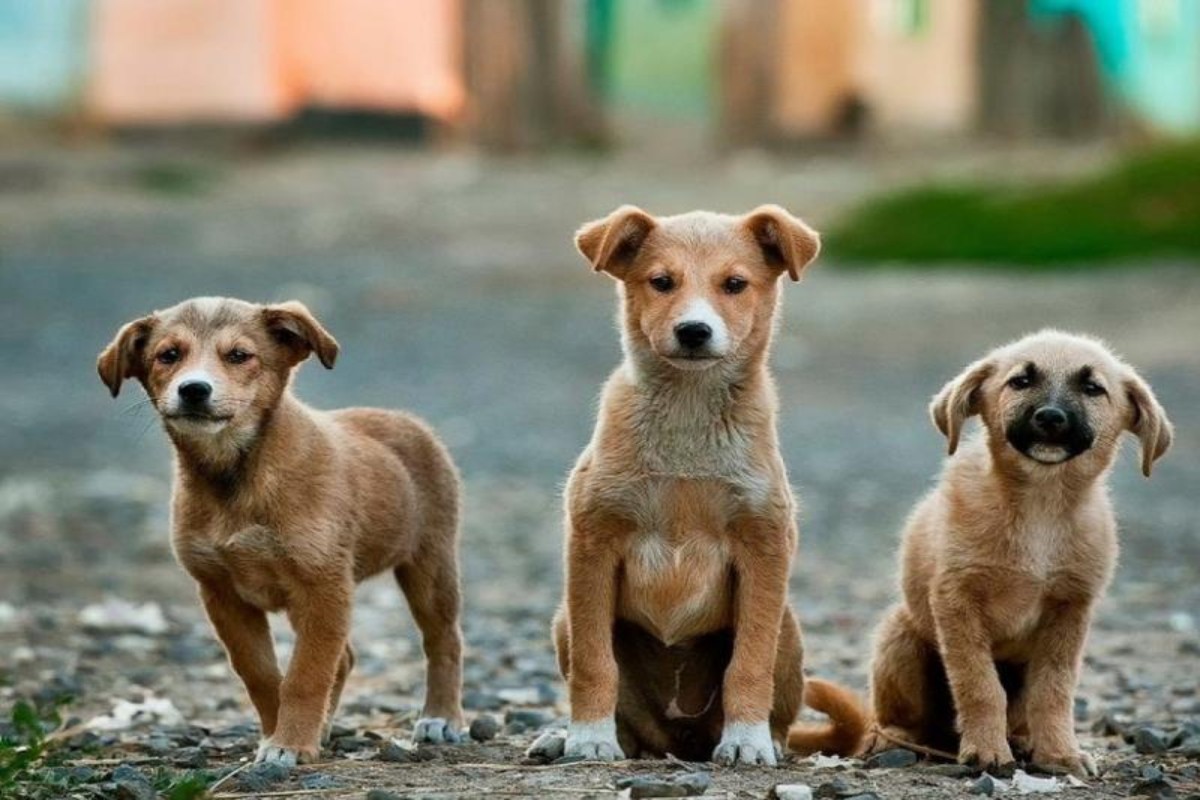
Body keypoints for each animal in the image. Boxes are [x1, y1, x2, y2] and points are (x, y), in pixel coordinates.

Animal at [96, 297, 463, 767]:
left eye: (239, 355)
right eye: (168, 355)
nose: (194, 390)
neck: (236, 477)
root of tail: (404, 419)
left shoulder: (323, 586)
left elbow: (306, 674)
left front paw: (290, 743)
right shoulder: (222, 593)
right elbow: (262, 674)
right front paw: (279, 734)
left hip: (430, 564)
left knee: (443, 640)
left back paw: (441, 717)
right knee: (345, 658)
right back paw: (324, 727)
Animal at [547, 203, 820, 767]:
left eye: (735, 284)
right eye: (661, 282)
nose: (694, 330)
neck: (688, 419)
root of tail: (680, 742)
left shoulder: (764, 547)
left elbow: (749, 663)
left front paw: (746, 740)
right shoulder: (592, 542)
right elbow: (594, 662)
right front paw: (587, 736)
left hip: (788, 627)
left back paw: (765, 740)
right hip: (563, 618)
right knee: (629, 720)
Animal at [792, 331, 1176, 777]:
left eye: (1093, 388)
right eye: (1020, 381)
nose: (1050, 417)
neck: (1040, 506)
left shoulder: (1070, 610)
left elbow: (1054, 690)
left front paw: (1059, 753)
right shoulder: (957, 601)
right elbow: (979, 685)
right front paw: (986, 751)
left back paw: (1023, 741)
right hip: (899, 636)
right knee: (896, 719)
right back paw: (894, 740)